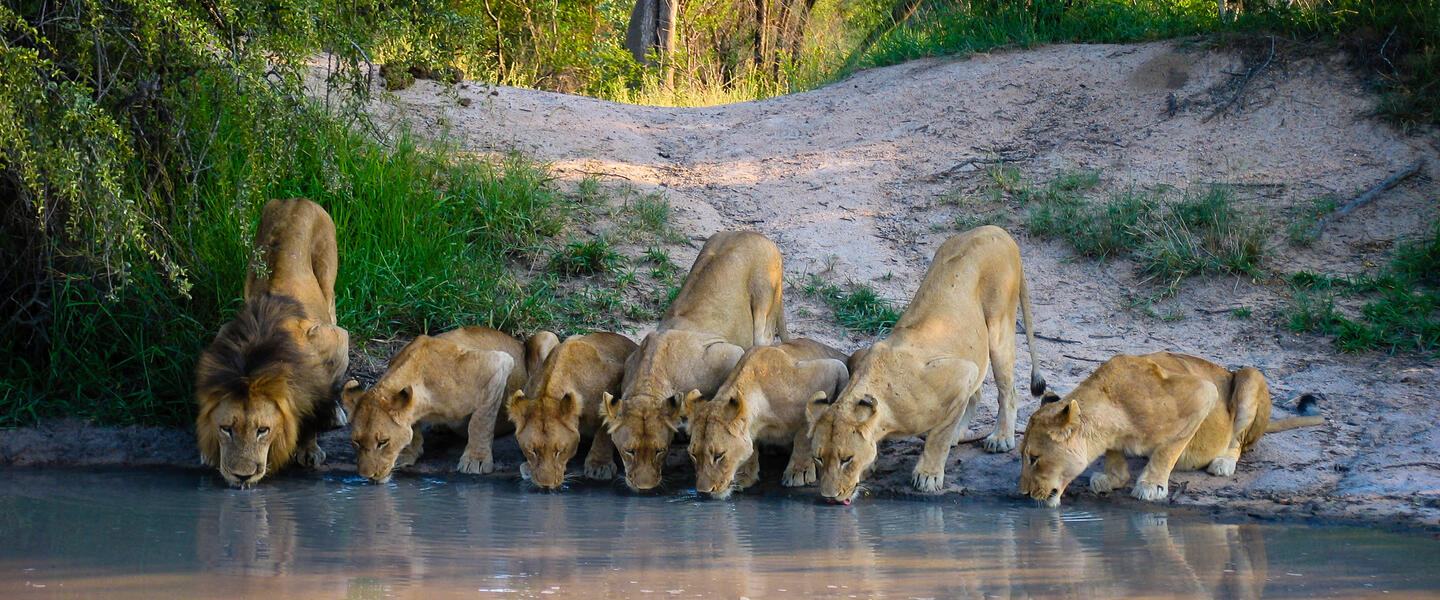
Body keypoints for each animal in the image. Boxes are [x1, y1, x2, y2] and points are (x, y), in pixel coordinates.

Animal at [509, 329, 639, 489]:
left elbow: (605, 427)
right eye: (533, 451)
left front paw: (599, 465)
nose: (545, 486)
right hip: (548, 335)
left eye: (559, 451)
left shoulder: (618, 380)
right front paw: (528, 467)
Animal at [601, 230, 794, 492]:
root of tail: (755, 233)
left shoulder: (728, 353)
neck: (650, 378)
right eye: (628, 451)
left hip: (763, 311)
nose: (644, 488)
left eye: (660, 451)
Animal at [682, 336, 846, 494]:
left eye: (719, 455)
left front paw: (799, 471)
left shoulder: (832, 369)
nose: (704, 491)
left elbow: (804, 433)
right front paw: (744, 475)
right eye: (693, 455)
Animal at [806, 227, 1042, 503]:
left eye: (846, 459)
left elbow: (938, 438)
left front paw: (928, 475)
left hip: (999, 324)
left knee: (1007, 389)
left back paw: (1000, 438)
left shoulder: (961, 372)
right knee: (977, 392)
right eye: (819, 458)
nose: (829, 496)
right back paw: (961, 433)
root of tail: (994, 229)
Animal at [1019, 351, 1319, 506]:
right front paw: (1113, 478)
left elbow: (1168, 450)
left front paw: (1152, 485)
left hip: (1249, 376)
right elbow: (1116, 454)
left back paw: (1223, 462)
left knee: (1238, 441)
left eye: (1034, 458)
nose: (1023, 493)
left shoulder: (1203, 393)